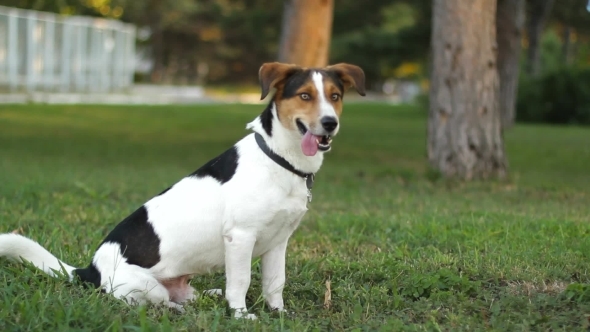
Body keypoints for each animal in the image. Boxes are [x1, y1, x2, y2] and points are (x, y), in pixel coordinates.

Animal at [0, 62, 366, 320]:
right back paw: (177, 309)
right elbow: (241, 282)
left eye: (335, 96)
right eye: (304, 95)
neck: (280, 159)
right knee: (143, 303)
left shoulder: (279, 241)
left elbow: (276, 283)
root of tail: (90, 270)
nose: (330, 124)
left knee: (190, 295)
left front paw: (278, 313)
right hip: (145, 287)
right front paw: (240, 314)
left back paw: (208, 297)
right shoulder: (240, 237)